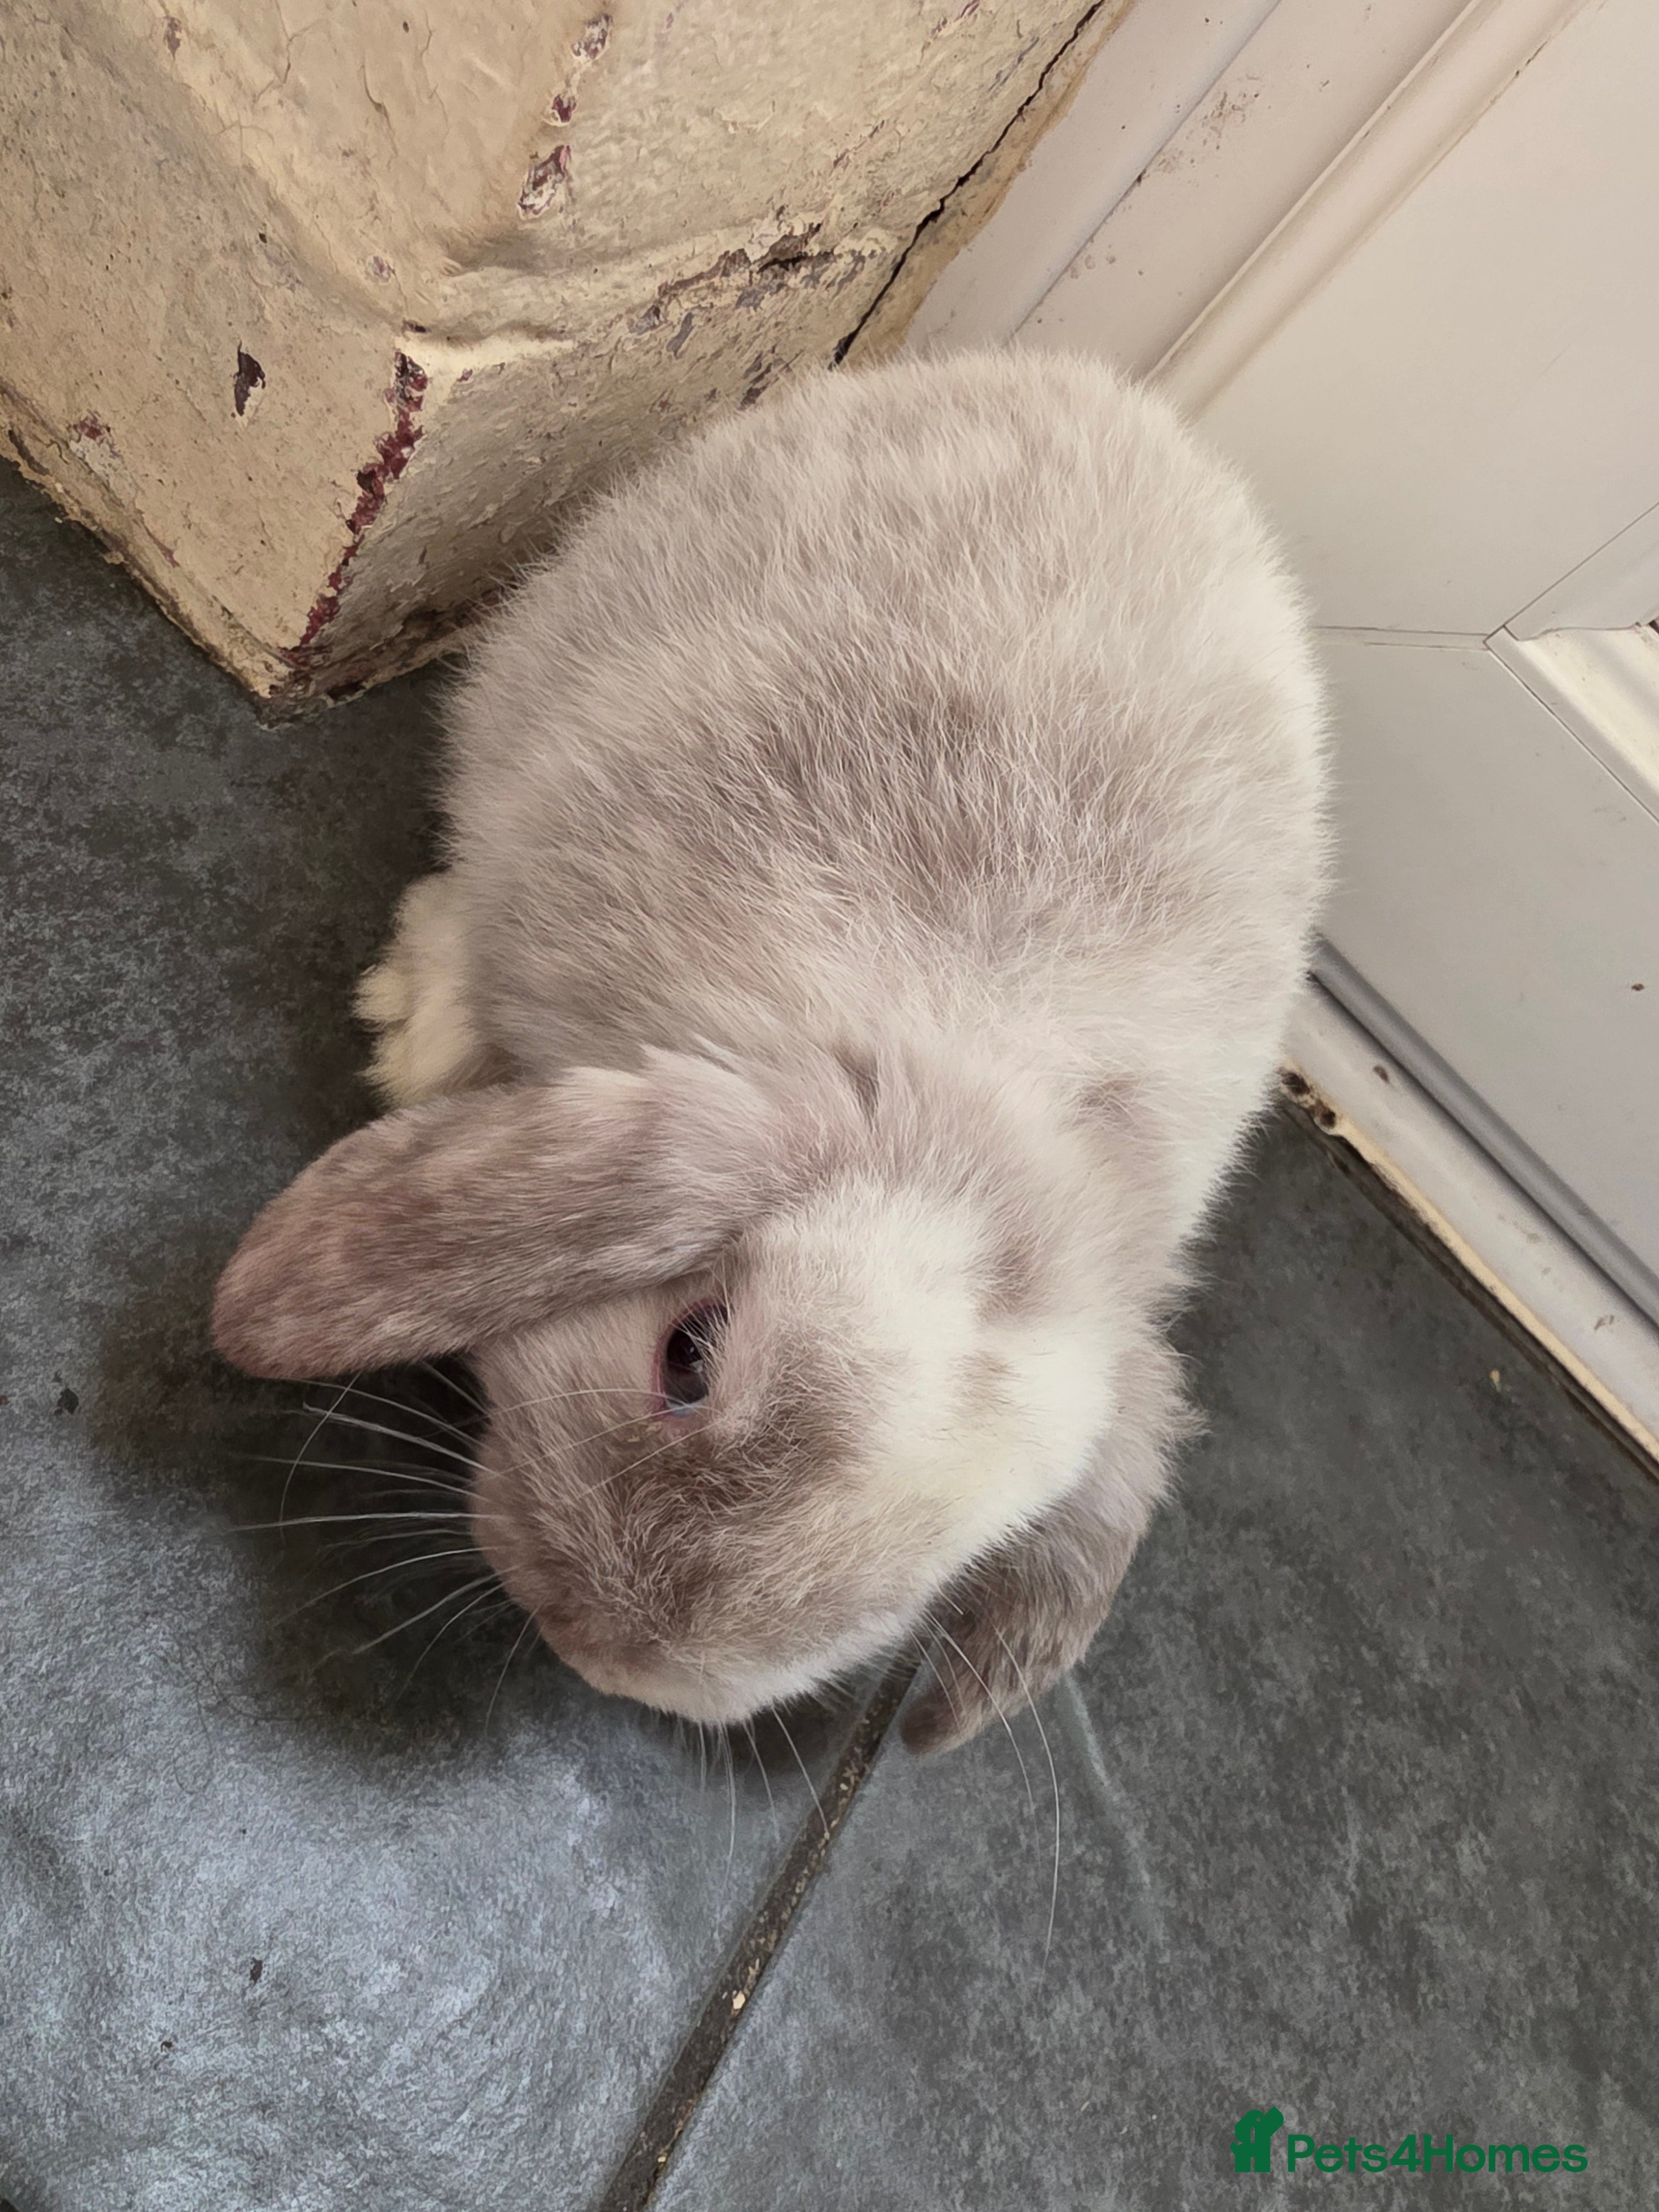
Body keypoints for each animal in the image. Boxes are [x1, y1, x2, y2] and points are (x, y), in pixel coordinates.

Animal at [213, 350, 1327, 1752]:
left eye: (940, 1574)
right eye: (685, 1355)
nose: (599, 1650)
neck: (980, 1118)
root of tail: (1082, 379)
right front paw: (413, 1023)